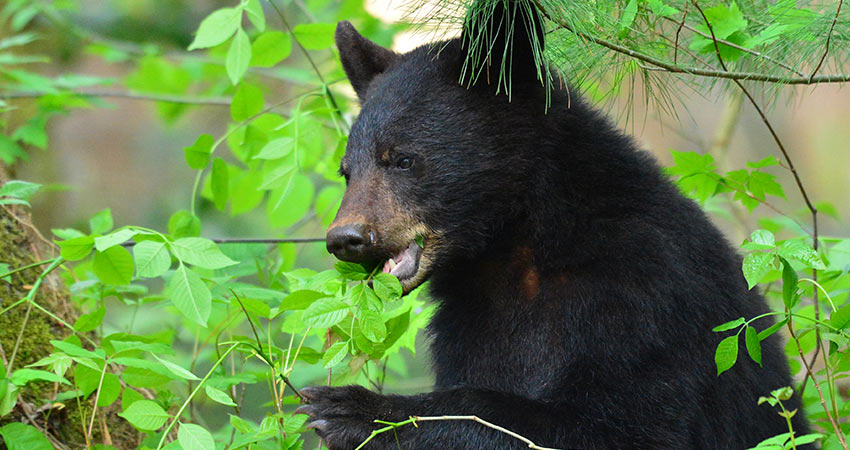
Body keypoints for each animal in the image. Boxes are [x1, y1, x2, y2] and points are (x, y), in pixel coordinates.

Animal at [294, 1, 804, 448]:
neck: (520, 243)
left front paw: (354, 410)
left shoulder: (645, 295)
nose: (346, 238)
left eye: (402, 158)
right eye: (347, 171)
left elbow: (618, 424)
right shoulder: (467, 323)